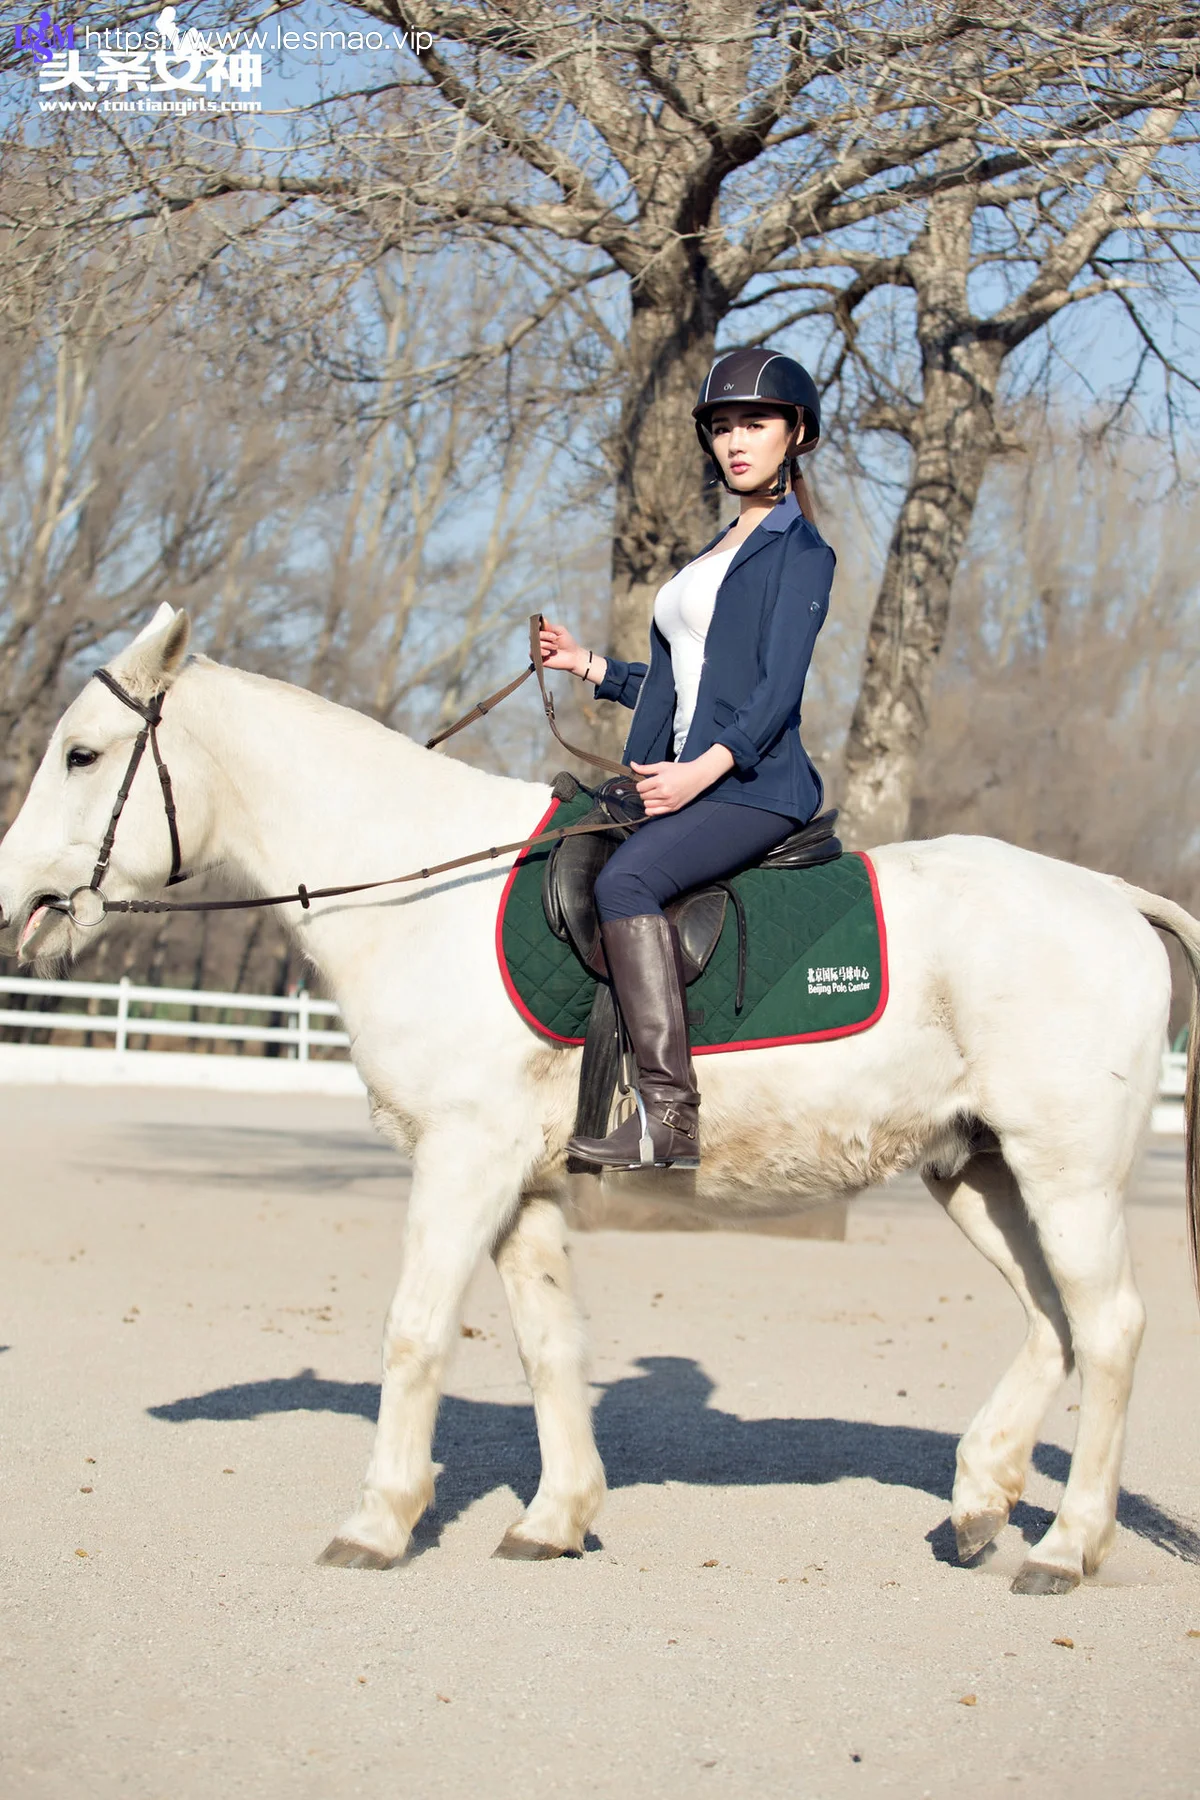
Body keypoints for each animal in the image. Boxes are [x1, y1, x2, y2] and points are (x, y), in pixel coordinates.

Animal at [0, 604, 1196, 1597]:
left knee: (1110, 1329)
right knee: (1051, 1323)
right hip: (980, 1170)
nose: (15, 900)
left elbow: (414, 1332)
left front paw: (377, 1525)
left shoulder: (463, 1161)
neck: (422, 892)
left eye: (81, 755)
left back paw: (1065, 1547)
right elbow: (548, 1345)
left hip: (1067, 1177)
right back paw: (981, 1498)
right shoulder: (521, 1185)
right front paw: (554, 1518)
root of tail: (1115, 898)